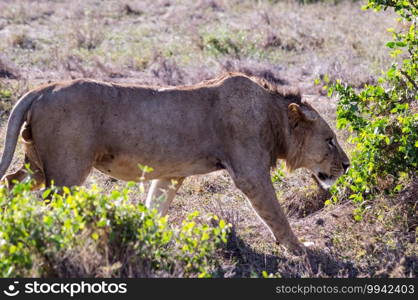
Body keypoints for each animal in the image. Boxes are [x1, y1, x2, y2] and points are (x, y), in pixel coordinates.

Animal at [0, 72, 350, 253]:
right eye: (330, 140)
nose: (346, 165)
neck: (271, 116)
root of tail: (43, 88)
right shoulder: (250, 173)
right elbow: (276, 215)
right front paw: (301, 249)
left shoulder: (170, 175)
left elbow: (155, 206)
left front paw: (147, 236)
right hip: (68, 171)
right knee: (55, 206)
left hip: (37, 165)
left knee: (10, 181)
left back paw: (11, 221)